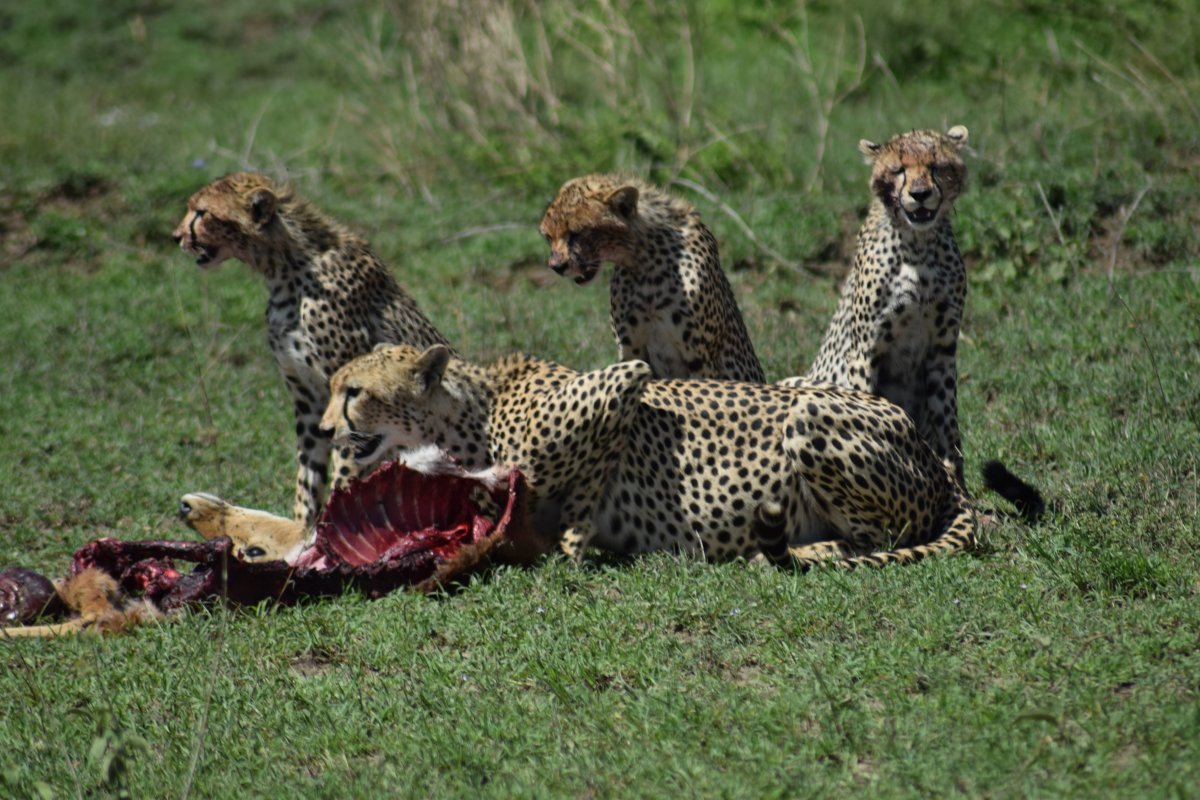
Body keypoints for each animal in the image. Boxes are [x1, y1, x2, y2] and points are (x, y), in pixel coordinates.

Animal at [169, 173, 451, 525]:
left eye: (202, 213)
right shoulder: (309, 402)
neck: (285, 267)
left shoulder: (350, 404)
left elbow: (345, 475)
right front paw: (303, 530)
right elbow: (307, 478)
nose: (175, 236)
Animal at [319, 345, 974, 568]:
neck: (470, 414)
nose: (325, 429)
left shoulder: (623, 382)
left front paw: (573, 545)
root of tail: (938, 461)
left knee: (877, 539)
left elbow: (583, 488)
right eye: (333, 387)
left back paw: (799, 550)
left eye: (355, 393)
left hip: (809, 416)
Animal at [540, 172, 763, 383]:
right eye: (548, 237)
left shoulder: (702, 357)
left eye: (575, 232)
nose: (556, 266)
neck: (646, 262)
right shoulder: (631, 351)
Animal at [787, 123, 1041, 520]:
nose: (919, 194)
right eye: (899, 170)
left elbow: (949, 430)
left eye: (936, 167)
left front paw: (962, 496)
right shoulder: (866, 350)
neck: (919, 249)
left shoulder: (942, 349)